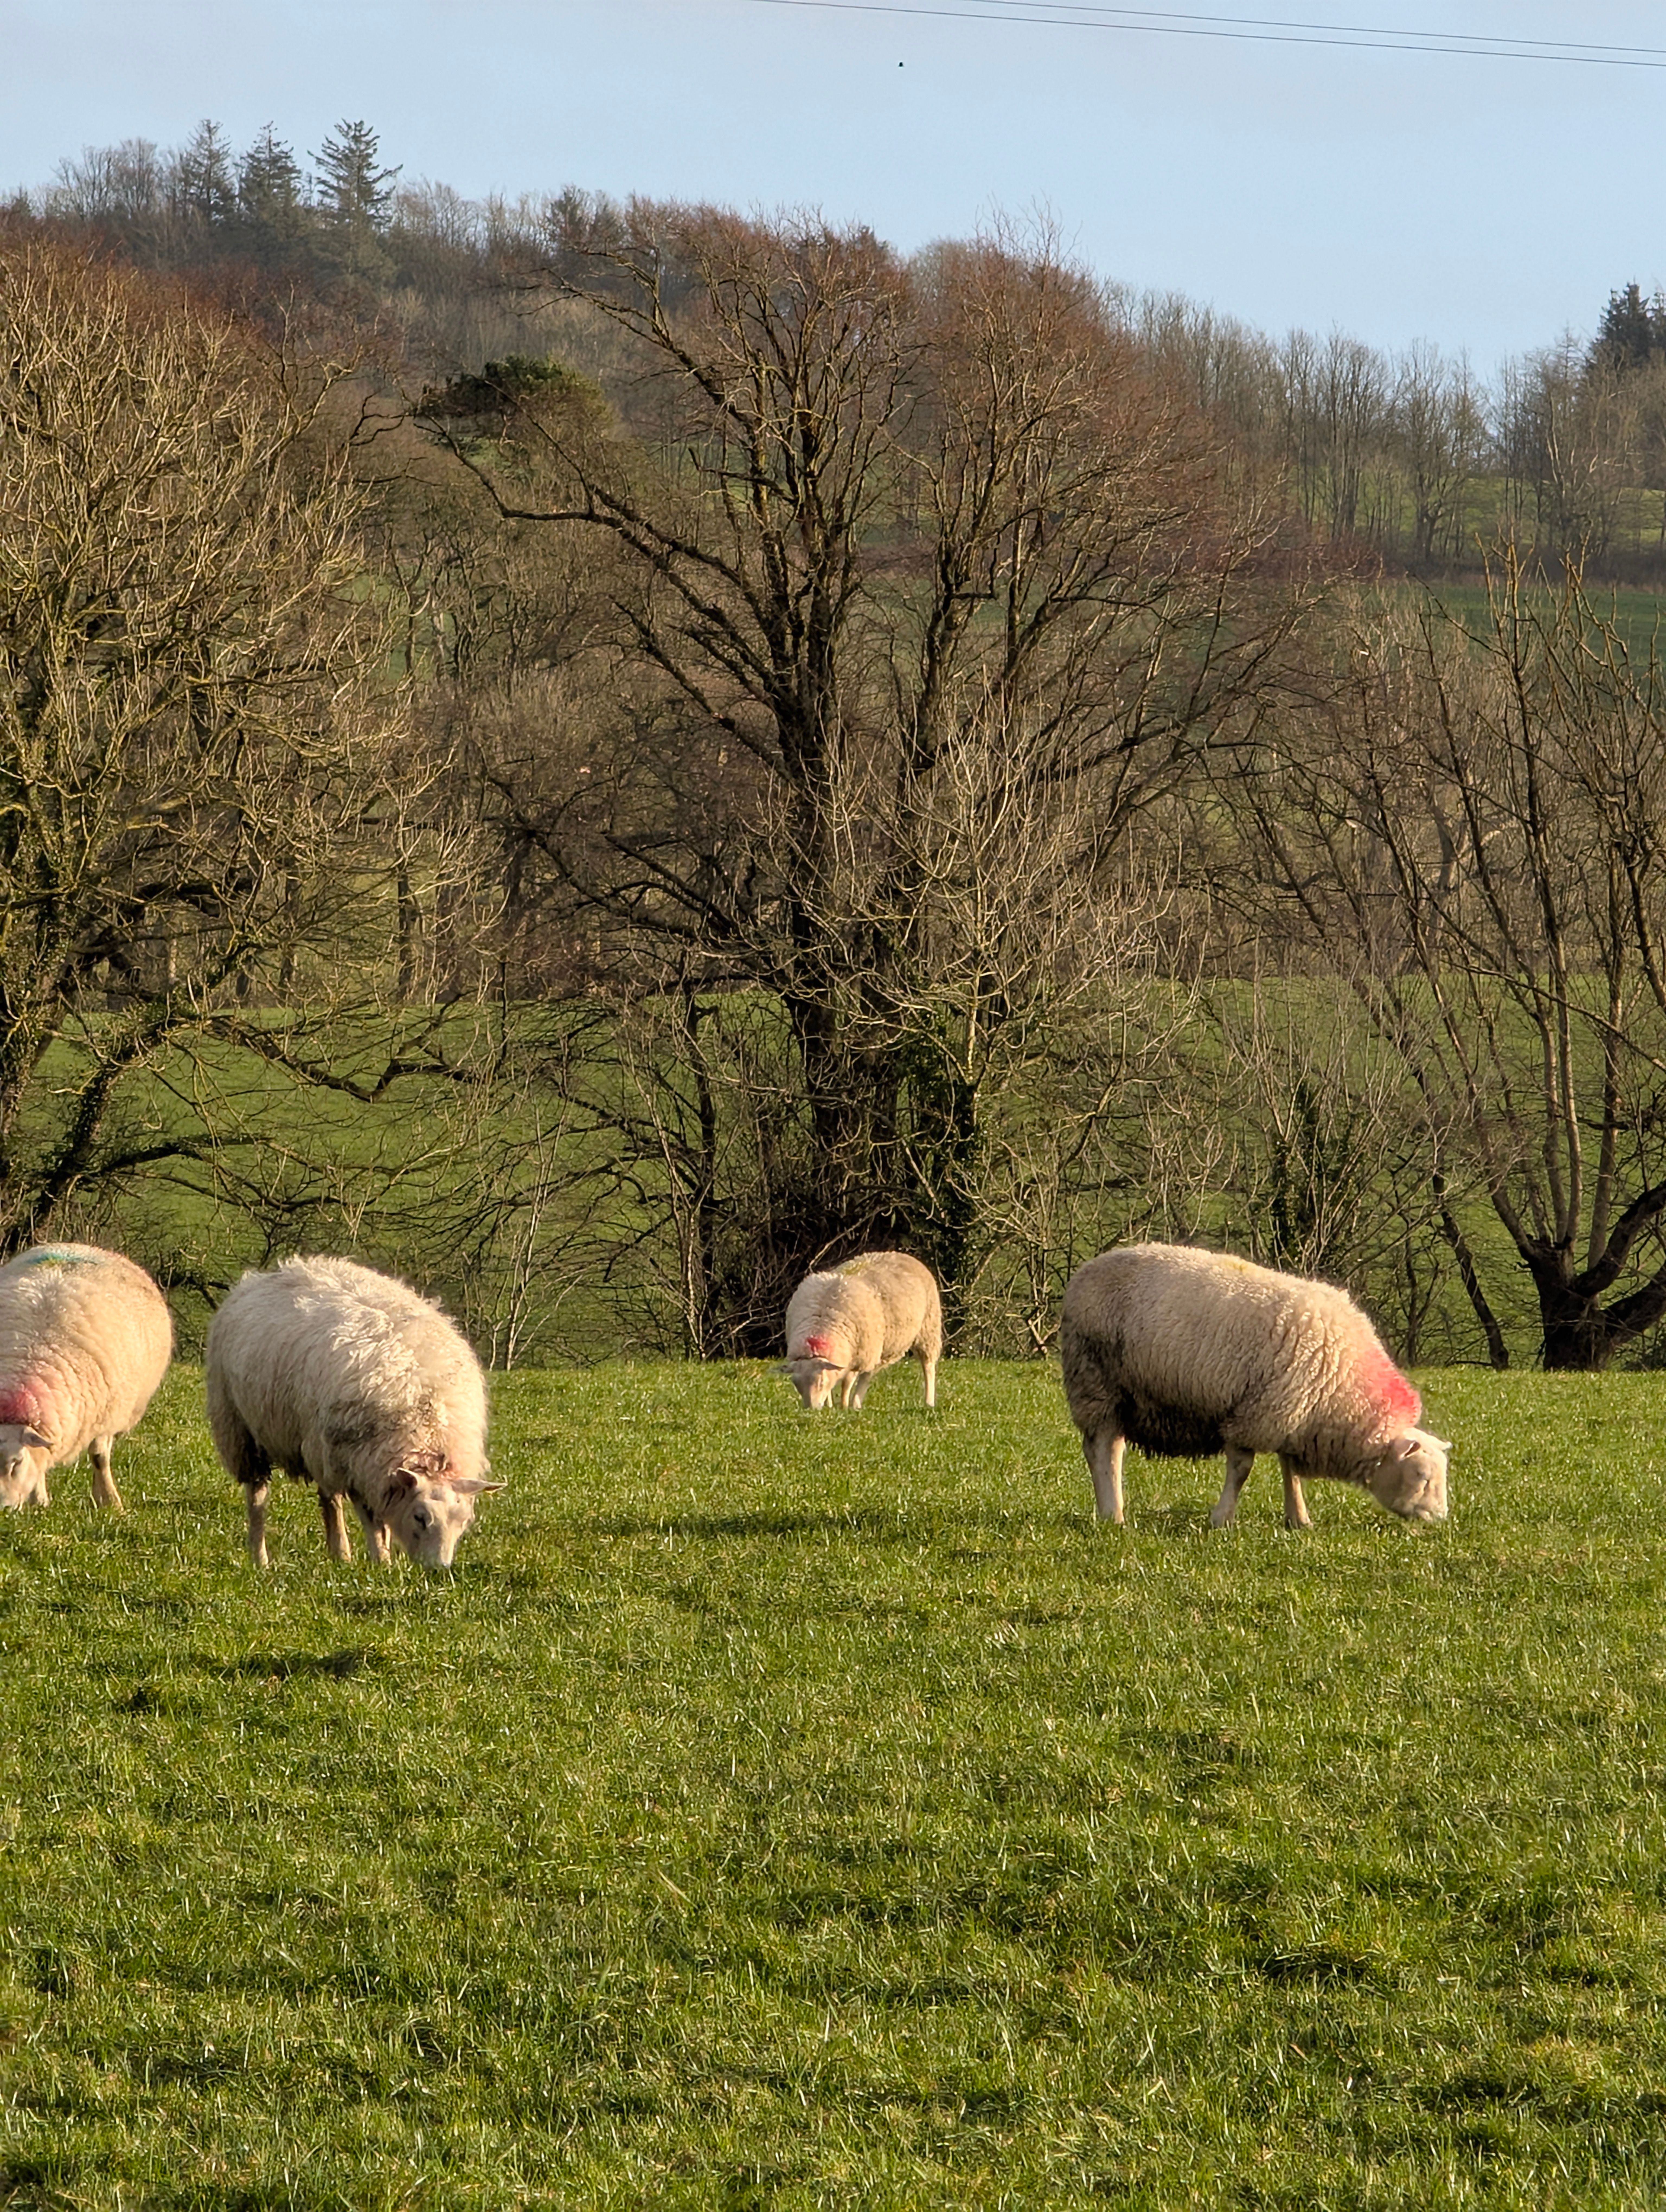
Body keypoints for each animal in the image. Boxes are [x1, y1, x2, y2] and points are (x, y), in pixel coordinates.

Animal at [0, 1242, 173, 1513]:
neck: (29, 1358)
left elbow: (100, 1457)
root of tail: (79, 1246)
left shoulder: (108, 1415)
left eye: (16, 1463)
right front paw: (40, 1501)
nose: (2, 1510)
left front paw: (110, 1503)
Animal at [205, 1255, 501, 1569]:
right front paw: (382, 1562)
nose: (439, 1569)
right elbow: (372, 1520)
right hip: (243, 1430)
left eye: (465, 1521)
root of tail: (278, 1270)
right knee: (261, 1497)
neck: (425, 1419)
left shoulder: (377, 1470)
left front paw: (382, 1556)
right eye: (420, 1518)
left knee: (327, 1497)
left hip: (320, 1446)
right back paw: (264, 1557)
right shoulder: (359, 1463)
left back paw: (339, 1554)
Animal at [783, 1250, 942, 1410]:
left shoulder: (859, 1356)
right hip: (880, 1345)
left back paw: (929, 1401)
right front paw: (830, 1405)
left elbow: (847, 1383)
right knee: (869, 1374)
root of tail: (901, 1255)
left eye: (821, 1382)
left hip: (928, 1330)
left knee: (928, 1366)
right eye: (796, 1384)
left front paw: (845, 1406)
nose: (811, 1410)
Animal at [1059, 1242, 1449, 1530]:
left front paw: (1299, 1519)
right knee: (1103, 1450)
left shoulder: (1292, 1414)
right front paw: (1222, 1520)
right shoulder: (1255, 1414)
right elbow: (1242, 1470)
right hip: (1095, 1382)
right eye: (1422, 1477)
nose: (1441, 1518)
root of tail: (1085, 1272)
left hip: (1119, 1394)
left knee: (1110, 1446)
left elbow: (1291, 1471)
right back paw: (1113, 1514)